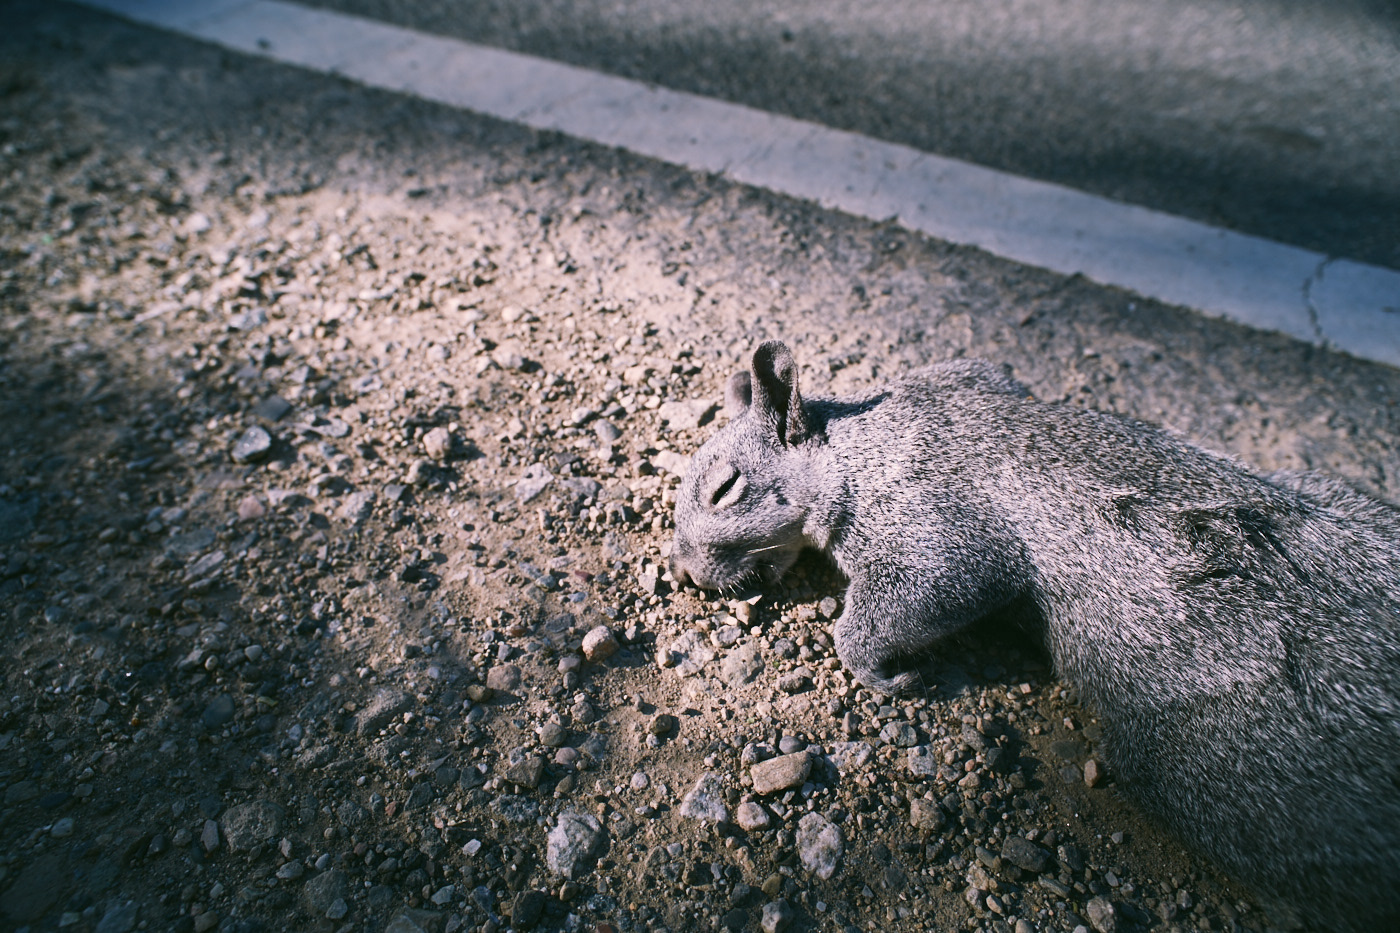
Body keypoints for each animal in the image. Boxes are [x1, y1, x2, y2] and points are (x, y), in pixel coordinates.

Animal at [669, 340, 1400, 933]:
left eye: (726, 488)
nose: (690, 574)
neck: (864, 442)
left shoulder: (934, 522)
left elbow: (913, 598)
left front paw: (880, 670)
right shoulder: (972, 374)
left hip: (1224, 776)